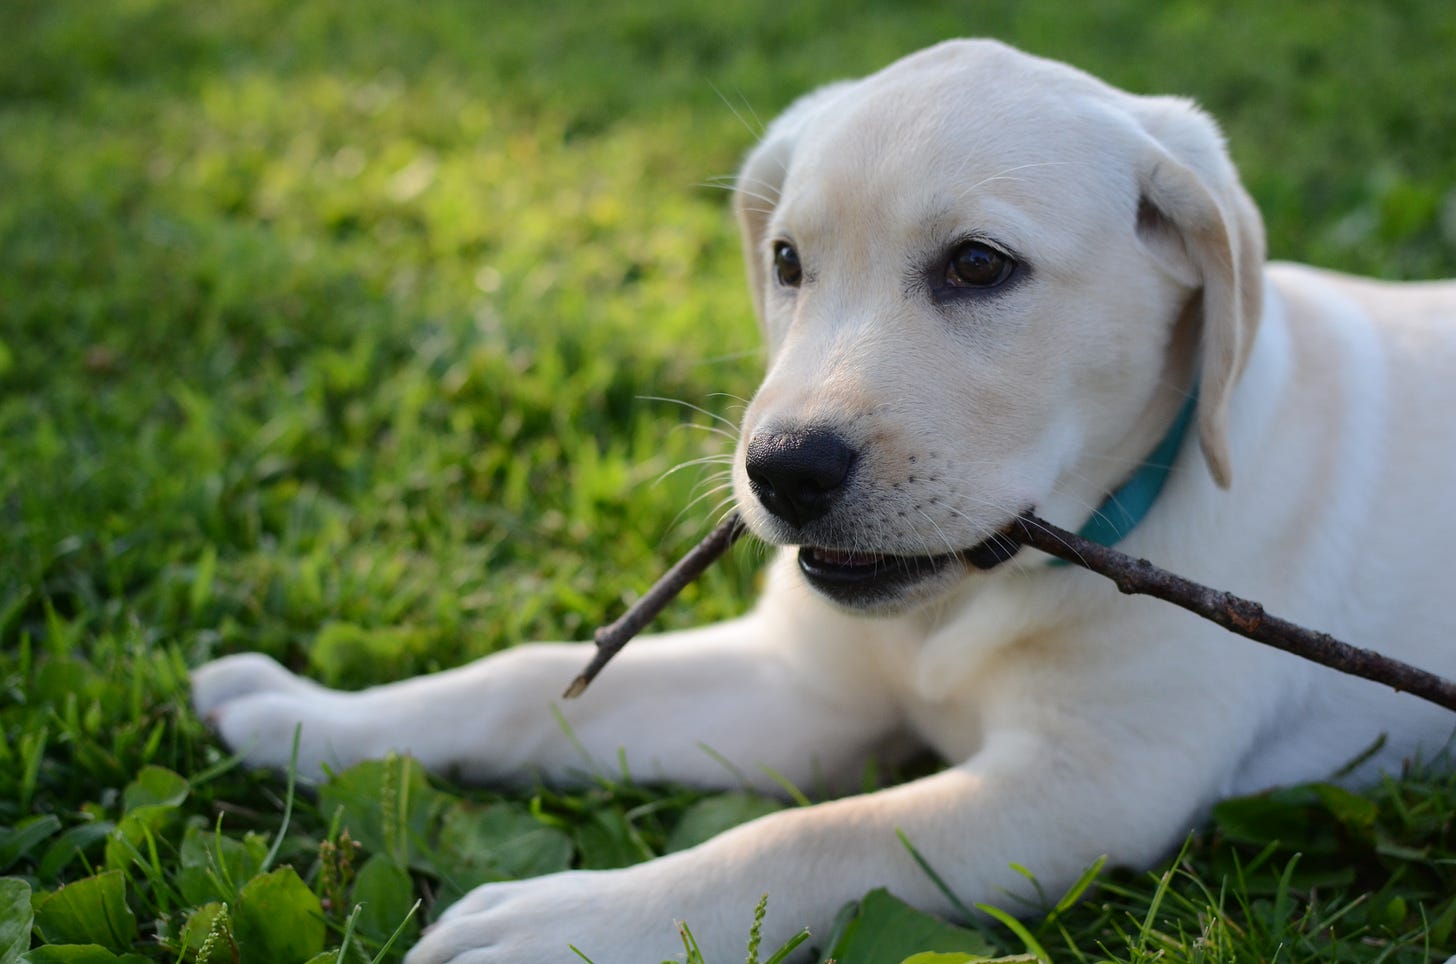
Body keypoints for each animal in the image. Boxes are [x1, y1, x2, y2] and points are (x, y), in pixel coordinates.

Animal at [190, 39, 1456, 964]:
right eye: (788, 261)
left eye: (979, 266)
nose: (781, 469)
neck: (971, 598)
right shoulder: (802, 685)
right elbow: (516, 686)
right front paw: (313, 716)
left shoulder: (1087, 786)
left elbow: (808, 836)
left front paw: (567, 923)